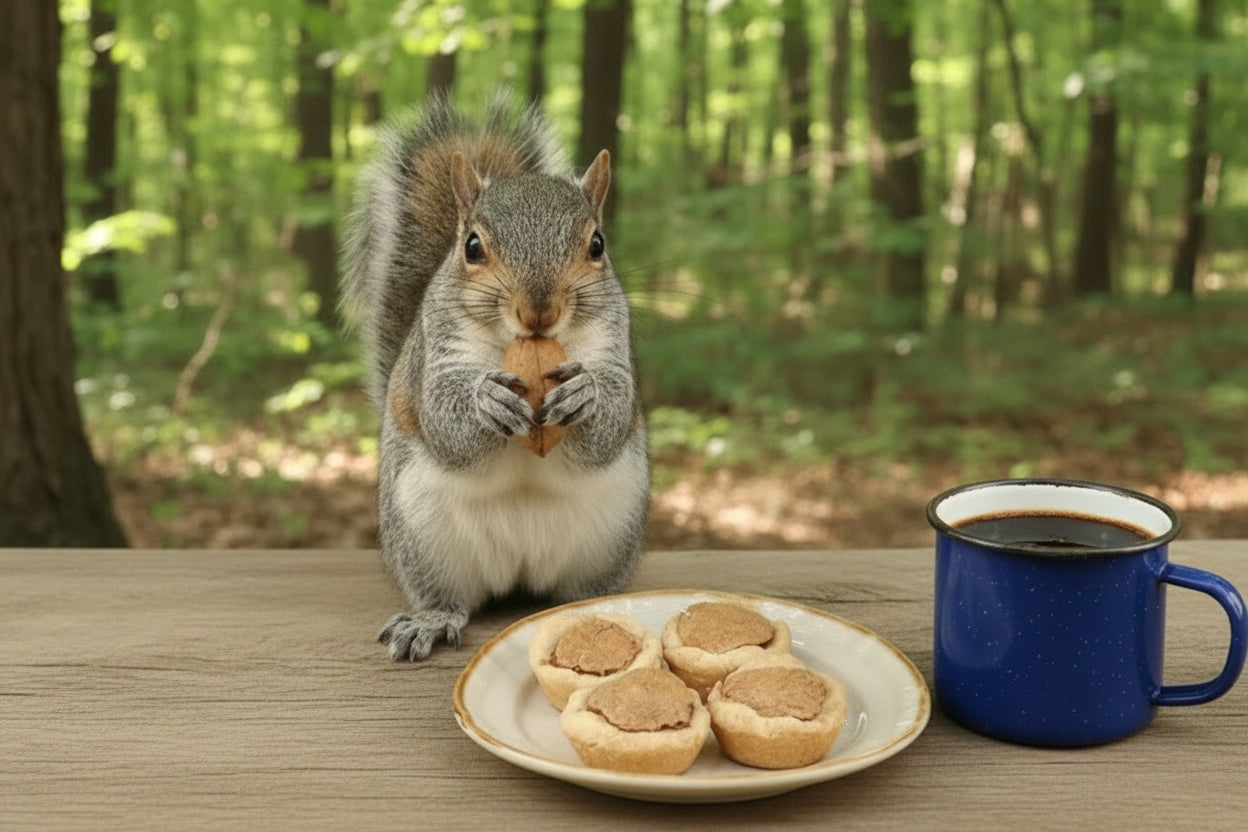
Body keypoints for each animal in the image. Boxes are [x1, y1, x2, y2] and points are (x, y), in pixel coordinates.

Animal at [341, 93, 650, 661]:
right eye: (472, 246)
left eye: (597, 244)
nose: (538, 312)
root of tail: (520, 575)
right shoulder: (435, 353)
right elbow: (445, 418)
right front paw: (487, 400)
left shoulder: (616, 346)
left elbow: (614, 413)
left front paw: (587, 395)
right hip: (424, 537)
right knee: (448, 596)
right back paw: (431, 620)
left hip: (610, 538)